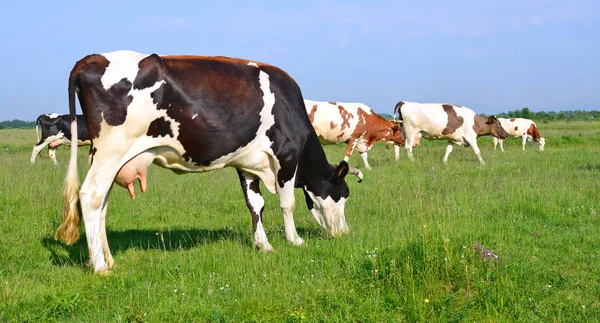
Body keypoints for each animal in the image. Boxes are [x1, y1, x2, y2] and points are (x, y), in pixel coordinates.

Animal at [56, 50, 360, 274]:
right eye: (344, 194)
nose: (344, 233)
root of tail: (91, 59)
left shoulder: (248, 163)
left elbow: (255, 205)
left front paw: (263, 245)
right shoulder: (285, 155)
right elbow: (288, 203)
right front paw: (294, 240)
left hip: (108, 157)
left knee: (102, 203)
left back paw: (108, 259)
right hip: (111, 150)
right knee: (91, 196)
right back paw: (99, 267)